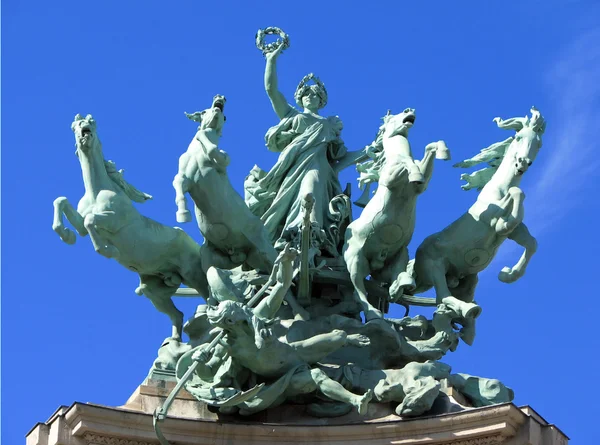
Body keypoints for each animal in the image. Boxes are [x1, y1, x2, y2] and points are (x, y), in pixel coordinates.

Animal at [52, 114, 211, 340]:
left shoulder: (113, 220)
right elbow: (62, 203)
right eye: (74, 126)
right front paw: (66, 235)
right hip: (155, 290)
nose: (83, 128)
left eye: (91, 122)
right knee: (177, 314)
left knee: (208, 295)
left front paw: (109, 250)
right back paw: (174, 341)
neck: (96, 191)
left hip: (193, 273)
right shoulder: (82, 224)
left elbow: (90, 220)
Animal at [410, 106, 548, 306]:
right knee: (443, 296)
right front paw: (503, 224)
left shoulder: (517, 232)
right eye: (519, 137)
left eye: (539, 144)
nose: (523, 162)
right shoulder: (490, 215)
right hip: (434, 267)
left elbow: (532, 243)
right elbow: (516, 194)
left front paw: (508, 274)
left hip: (467, 280)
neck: (500, 188)